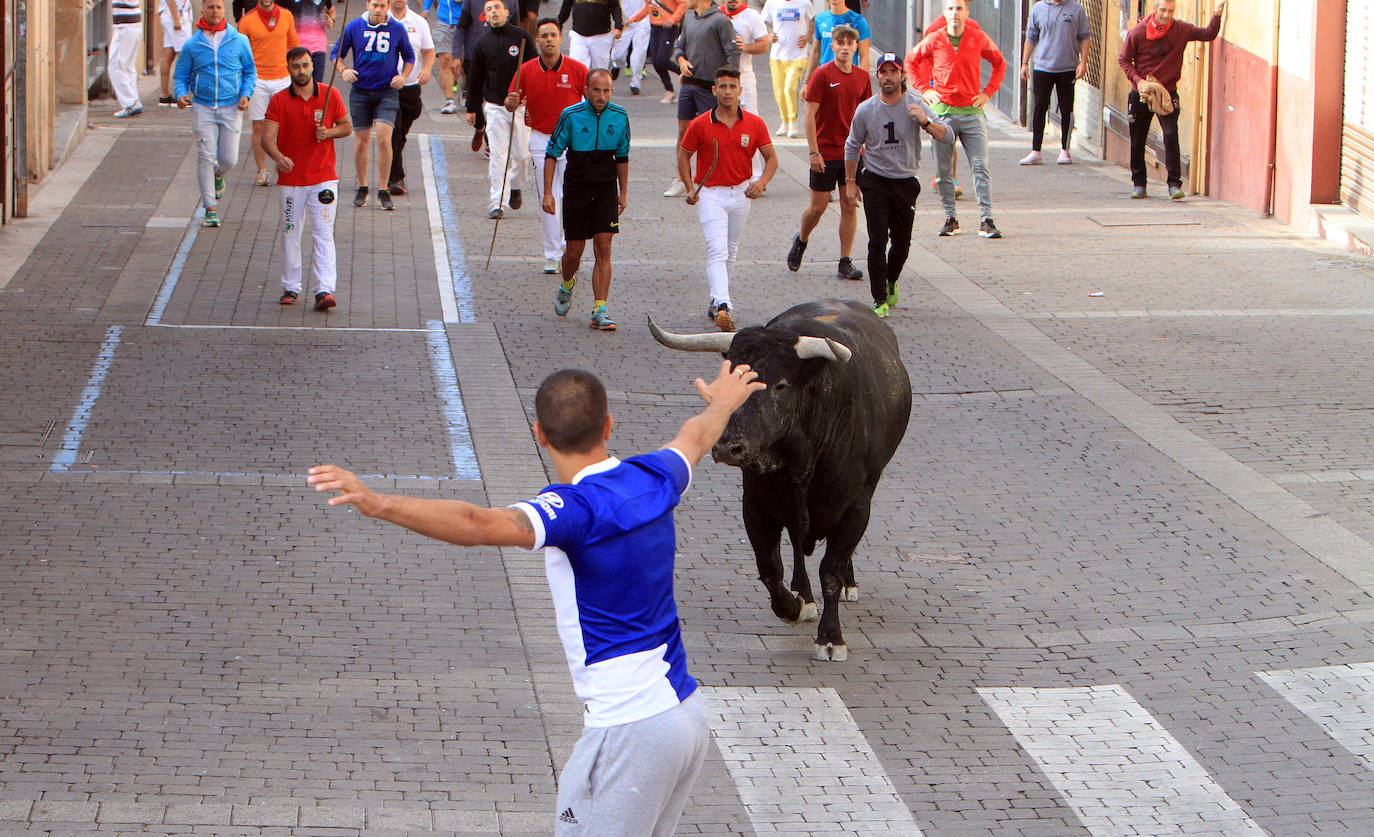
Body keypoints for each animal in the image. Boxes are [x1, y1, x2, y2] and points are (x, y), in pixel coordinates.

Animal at [645, 298, 906, 659]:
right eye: (727, 381)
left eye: (781, 385)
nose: (729, 446)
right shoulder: (756, 504)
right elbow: (770, 569)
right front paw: (793, 607)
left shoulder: (856, 506)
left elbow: (831, 570)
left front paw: (830, 637)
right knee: (796, 543)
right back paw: (803, 595)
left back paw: (847, 584)